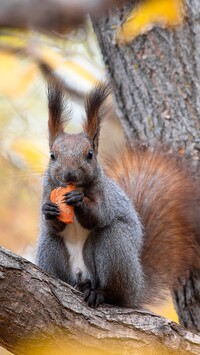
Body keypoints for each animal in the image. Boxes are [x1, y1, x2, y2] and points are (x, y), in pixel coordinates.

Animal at [36, 80, 200, 308]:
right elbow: (53, 224)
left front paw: (79, 201)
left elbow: (100, 215)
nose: (69, 174)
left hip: (115, 250)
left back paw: (99, 293)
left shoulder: (105, 195)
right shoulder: (47, 189)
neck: (76, 187)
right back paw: (78, 285)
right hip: (50, 249)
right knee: (55, 247)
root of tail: (137, 287)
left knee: (115, 291)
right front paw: (49, 210)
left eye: (90, 154)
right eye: (52, 155)